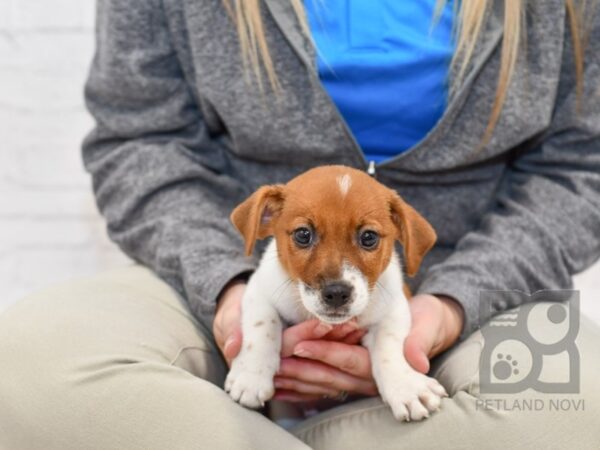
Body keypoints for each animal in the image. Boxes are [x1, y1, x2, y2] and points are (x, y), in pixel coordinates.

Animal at [227, 165, 448, 422]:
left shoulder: (394, 309)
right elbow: (262, 326)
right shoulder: (258, 291)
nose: (336, 293)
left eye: (368, 237)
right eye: (303, 234)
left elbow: (389, 346)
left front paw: (406, 387)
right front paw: (251, 375)